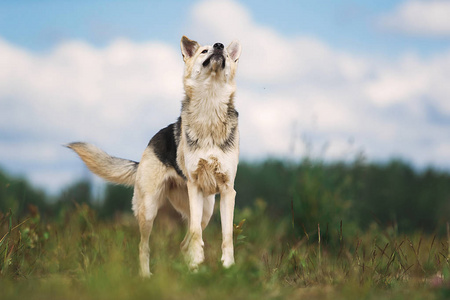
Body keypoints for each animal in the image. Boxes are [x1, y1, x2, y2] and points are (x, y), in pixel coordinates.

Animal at [66, 35, 241, 276]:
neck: (210, 106)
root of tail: (146, 150)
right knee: (145, 245)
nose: (219, 46)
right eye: (204, 51)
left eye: (222, 51)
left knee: (184, 242)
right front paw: (198, 264)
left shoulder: (227, 190)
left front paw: (228, 267)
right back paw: (147, 276)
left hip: (206, 210)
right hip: (149, 210)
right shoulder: (195, 187)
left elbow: (227, 236)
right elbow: (196, 234)